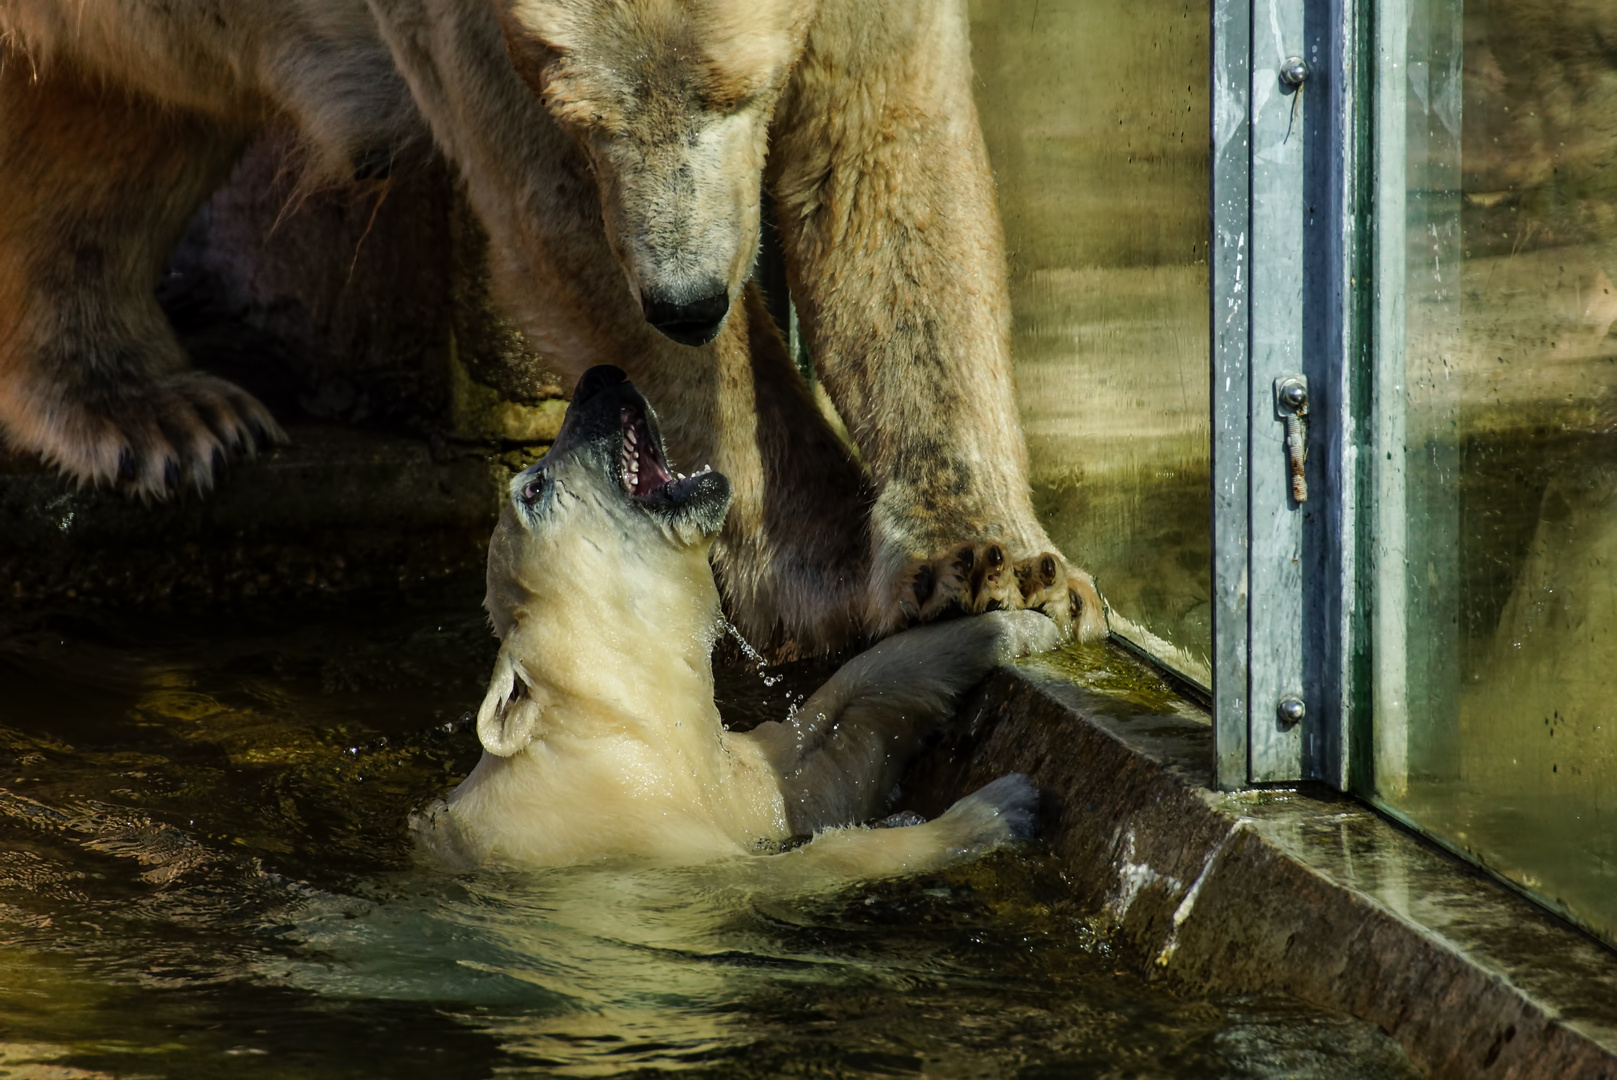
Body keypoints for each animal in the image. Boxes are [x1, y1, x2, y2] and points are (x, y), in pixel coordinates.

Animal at [0, 0, 1106, 653]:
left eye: (737, 90)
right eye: (586, 119)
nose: (688, 301)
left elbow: (882, 157)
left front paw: (997, 564)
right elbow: (554, 211)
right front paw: (829, 575)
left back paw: (153, 406)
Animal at [410, 367, 1054, 873]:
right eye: (533, 487)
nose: (595, 378)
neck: (617, 728)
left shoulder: (719, 780)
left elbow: (816, 755)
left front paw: (1019, 624)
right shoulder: (633, 834)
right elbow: (807, 861)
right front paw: (997, 808)